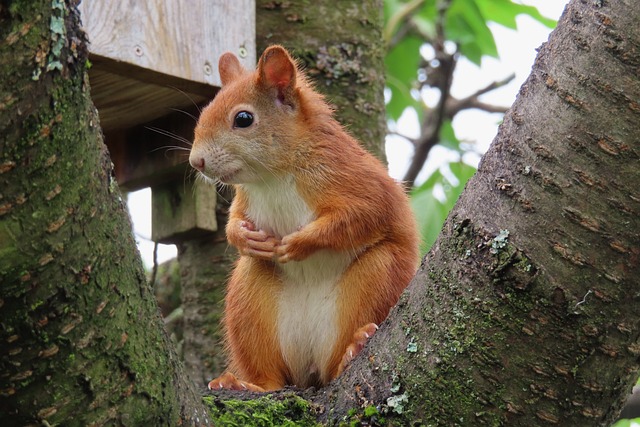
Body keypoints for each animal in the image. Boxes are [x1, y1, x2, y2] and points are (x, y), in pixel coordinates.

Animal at [189, 45, 419, 392]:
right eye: (204, 112)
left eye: (243, 119)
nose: (196, 161)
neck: (272, 177)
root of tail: (310, 369)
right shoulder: (245, 198)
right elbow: (234, 221)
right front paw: (243, 237)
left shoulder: (356, 180)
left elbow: (362, 215)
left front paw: (300, 242)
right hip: (250, 302)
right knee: (269, 375)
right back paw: (244, 385)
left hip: (378, 277)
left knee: (338, 362)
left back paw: (354, 349)